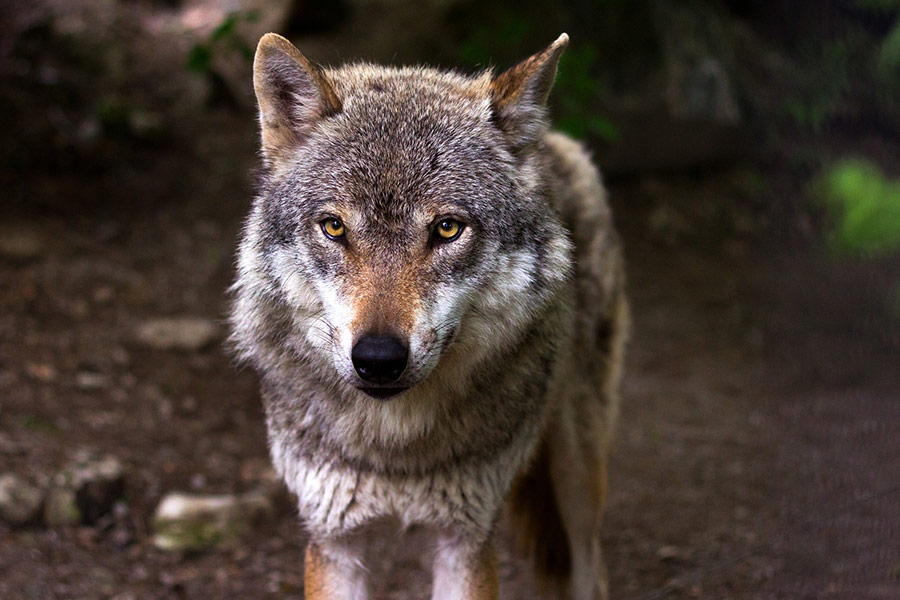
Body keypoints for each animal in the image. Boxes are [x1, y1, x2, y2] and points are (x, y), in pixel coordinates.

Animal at [229, 31, 628, 600]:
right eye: (334, 227)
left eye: (446, 229)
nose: (378, 358)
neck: (396, 448)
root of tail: (551, 141)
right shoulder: (334, 540)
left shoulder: (465, 539)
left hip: (578, 477)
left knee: (591, 567)